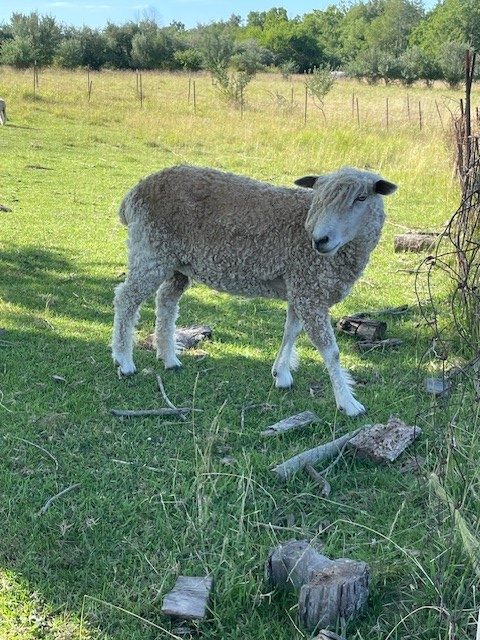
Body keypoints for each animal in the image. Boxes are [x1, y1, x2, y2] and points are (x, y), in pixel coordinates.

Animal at [112, 165, 397, 416]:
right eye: (319, 199)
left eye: (361, 198)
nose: (320, 240)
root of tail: (134, 193)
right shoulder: (309, 289)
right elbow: (330, 351)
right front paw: (348, 403)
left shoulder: (301, 287)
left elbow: (290, 331)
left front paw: (281, 373)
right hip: (151, 250)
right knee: (126, 299)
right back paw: (124, 361)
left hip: (176, 263)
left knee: (166, 301)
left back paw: (169, 357)